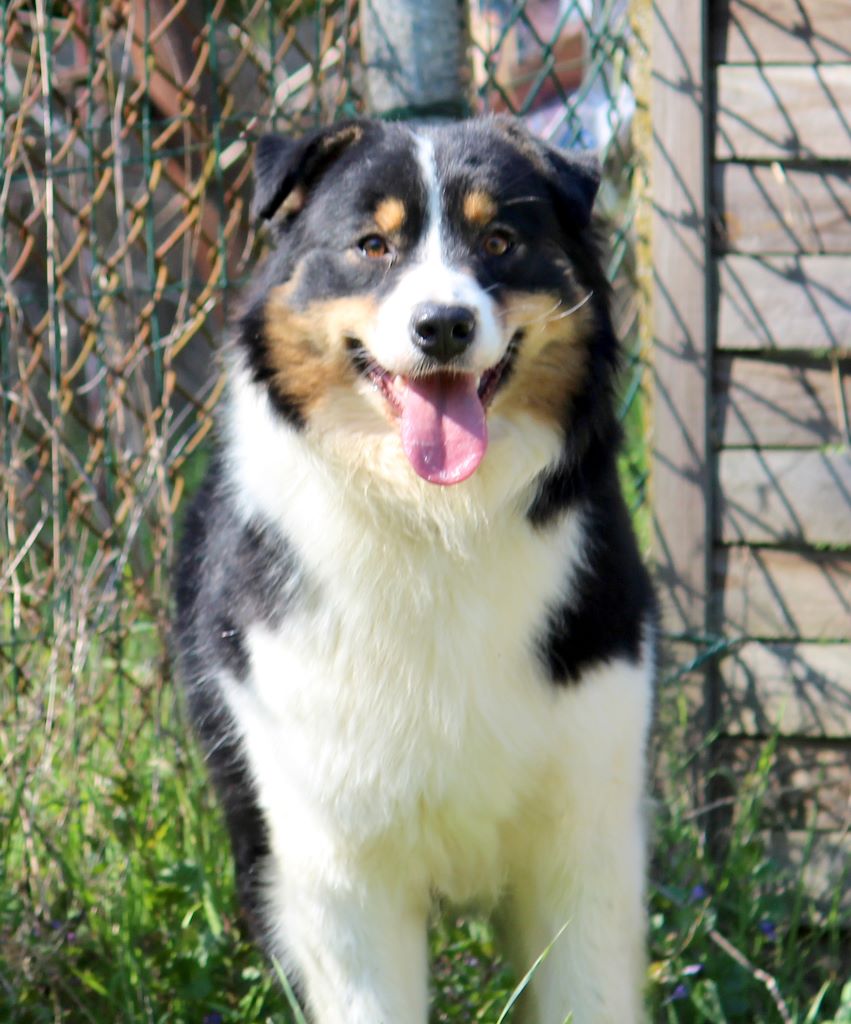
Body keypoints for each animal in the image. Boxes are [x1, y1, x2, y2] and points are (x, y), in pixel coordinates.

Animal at [174, 115, 655, 1024]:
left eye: (499, 241)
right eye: (372, 245)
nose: (443, 326)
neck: (437, 526)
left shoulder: (585, 838)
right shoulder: (336, 872)